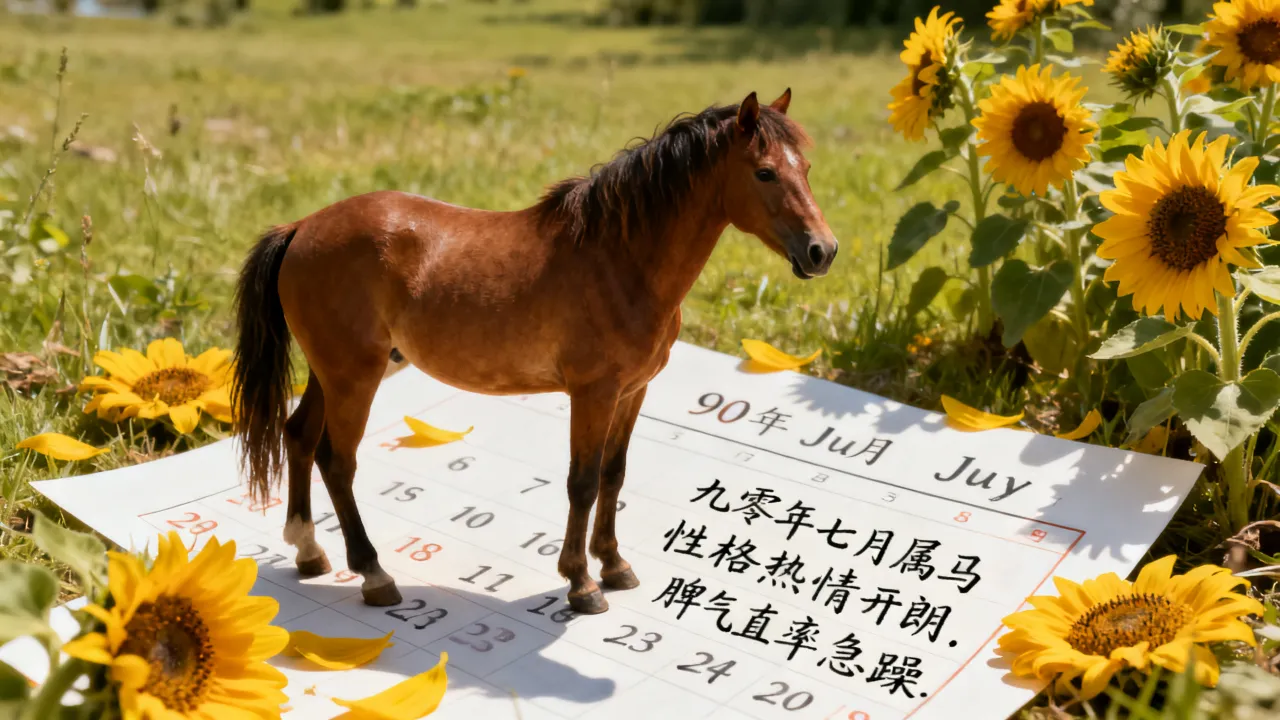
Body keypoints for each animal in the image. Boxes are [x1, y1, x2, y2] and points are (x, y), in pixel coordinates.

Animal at [230, 89, 838, 615]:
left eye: (806, 169)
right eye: (764, 172)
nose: (822, 251)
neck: (619, 259)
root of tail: (302, 227)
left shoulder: (633, 391)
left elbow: (614, 474)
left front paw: (613, 565)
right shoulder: (592, 394)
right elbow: (582, 483)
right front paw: (581, 582)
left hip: (330, 372)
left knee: (298, 437)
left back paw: (309, 551)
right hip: (355, 377)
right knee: (338, 460)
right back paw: (374, 574)